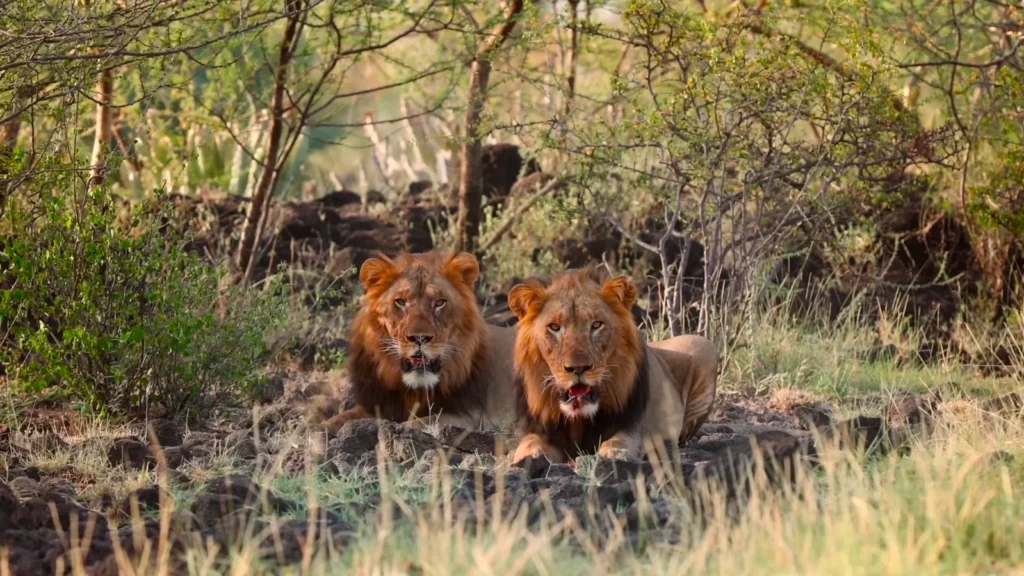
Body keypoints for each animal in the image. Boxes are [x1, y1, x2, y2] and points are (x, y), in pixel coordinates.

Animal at [321, 251, 517, 433]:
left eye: (439, 302)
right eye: (400, 302)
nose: (420, 338)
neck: (414, 391)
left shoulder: (471, 417)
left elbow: (418, 422)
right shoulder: (377, 404)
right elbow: (340, 418)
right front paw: (321, 430)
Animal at [507, 268, 718, 464]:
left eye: (596, 325)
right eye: (554, 327)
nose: (578, 368)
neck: (578, 419)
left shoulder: (631, 428)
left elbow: (617, 442)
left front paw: (612, 456)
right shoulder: (536, 429)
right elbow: (528, 445)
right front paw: (529, 458)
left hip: (703, 345)